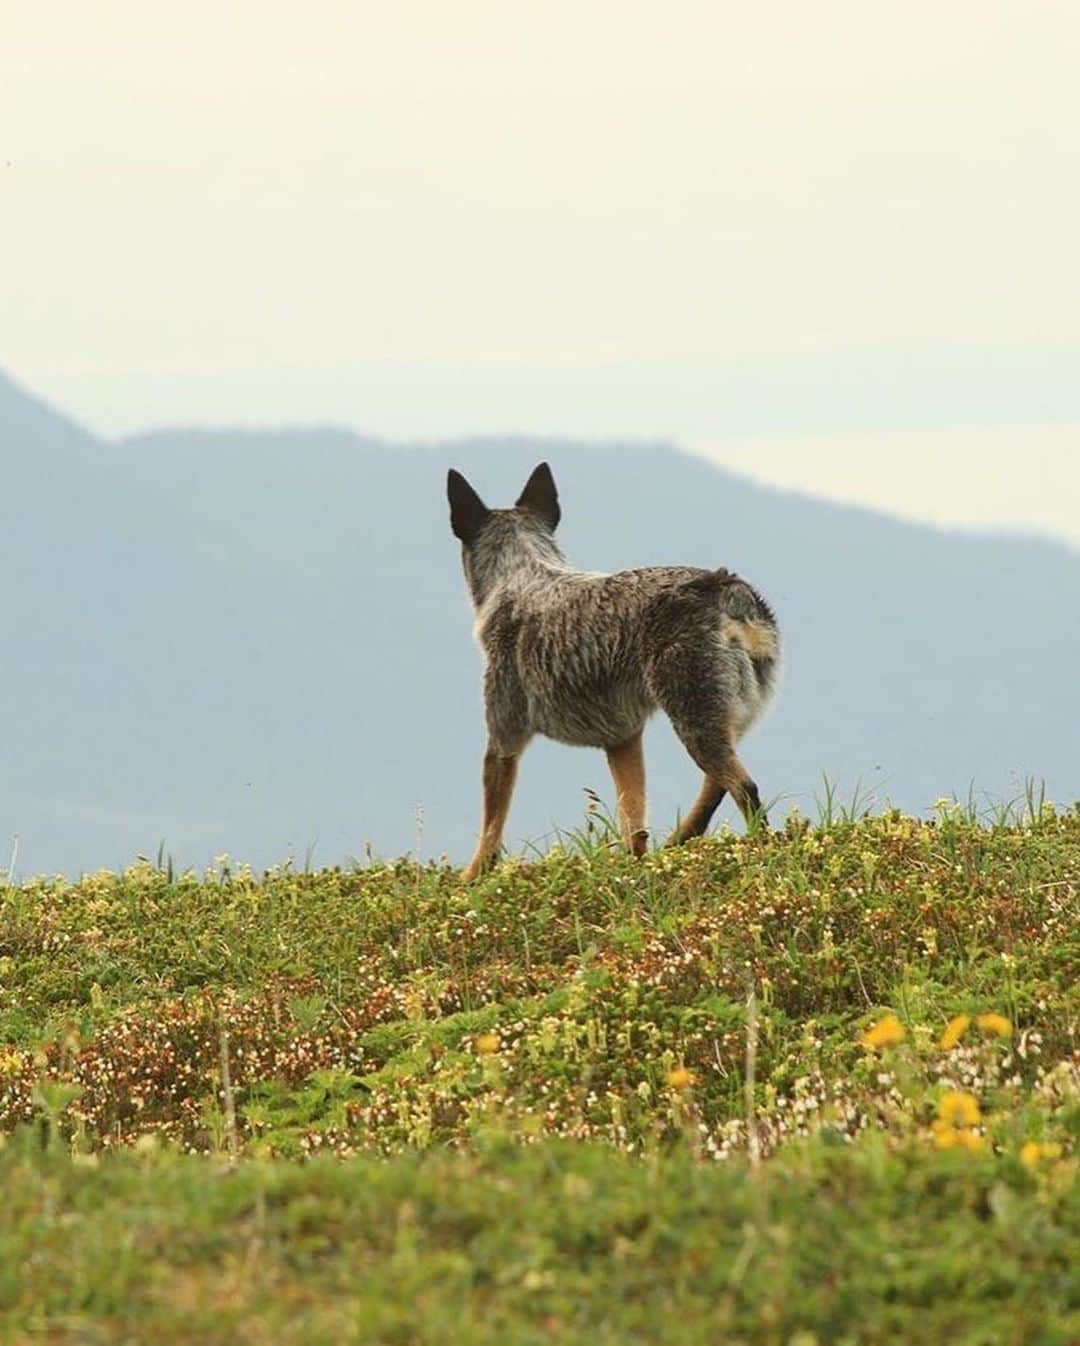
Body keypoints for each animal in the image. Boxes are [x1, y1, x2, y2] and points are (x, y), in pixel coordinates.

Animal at [444, 465, 775, 882]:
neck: (522, 574)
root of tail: (725, 586)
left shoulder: (503, 742)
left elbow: (489, 834)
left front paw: (467, 883)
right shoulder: (623, 740)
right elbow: (634, 822)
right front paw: (636, 869)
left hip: (694, 720)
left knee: (744, 788)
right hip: (725, 720)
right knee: (714, 789)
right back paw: (678, 845)